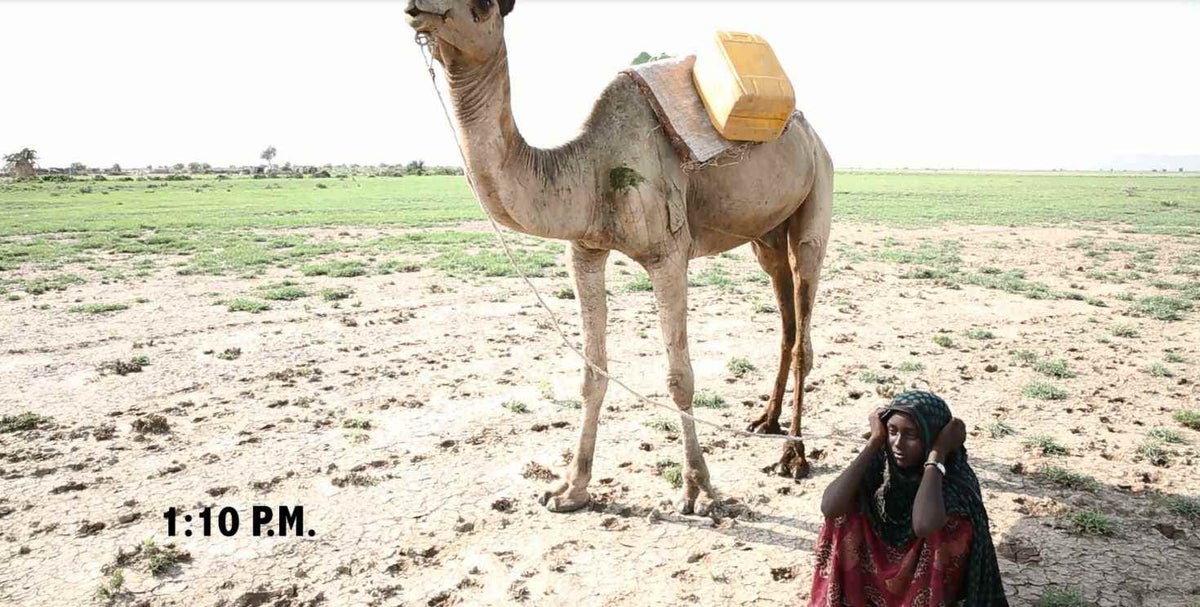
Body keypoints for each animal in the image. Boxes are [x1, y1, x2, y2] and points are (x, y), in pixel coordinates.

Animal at [408, 0, 830, 513]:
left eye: (484, 6)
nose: (420, 9)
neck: (588, 169)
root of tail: (808, 130)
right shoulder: (585, 250)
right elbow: (592, 373)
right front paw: (570, 489)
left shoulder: (668, 254)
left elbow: (679, 377)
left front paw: (698, 489)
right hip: (765, 234)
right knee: (786, 322)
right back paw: (766, 421)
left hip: (818, 192)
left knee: (805, 320)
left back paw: (794, 456)